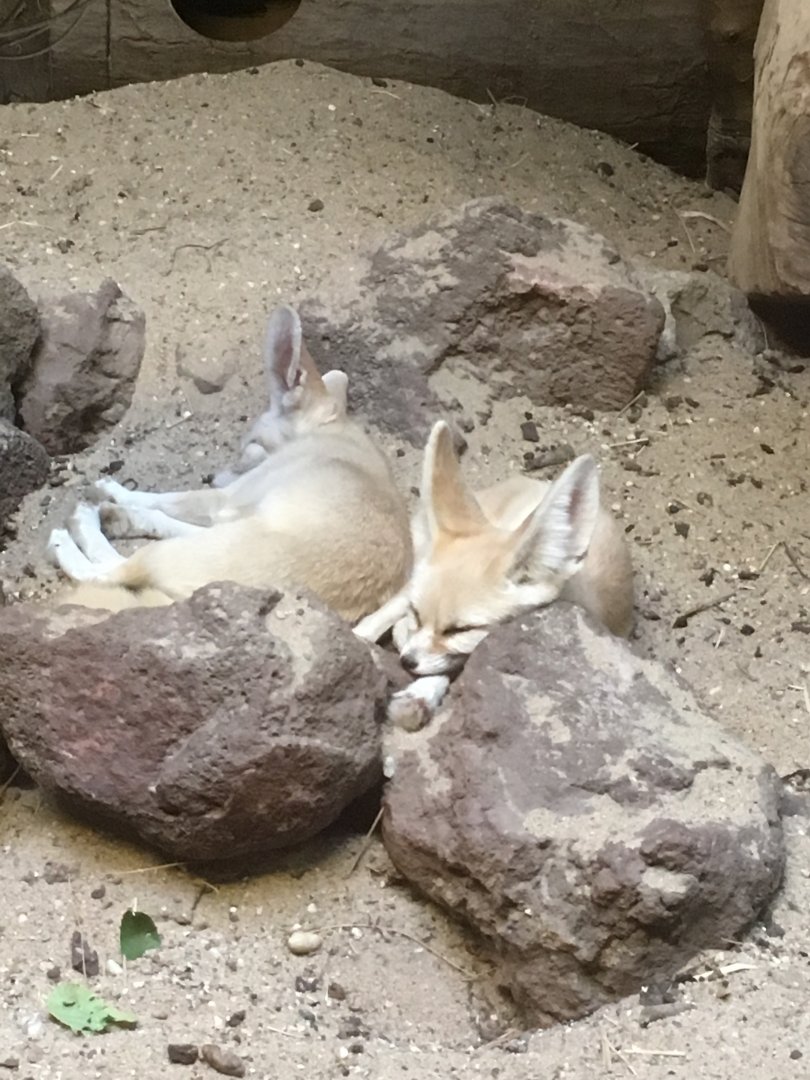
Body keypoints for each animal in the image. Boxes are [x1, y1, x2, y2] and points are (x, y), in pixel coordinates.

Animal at [46, 305, 413, 621]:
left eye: (250, 446)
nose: (212, 477)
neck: (332, 431)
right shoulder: (231, 512)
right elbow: (169, 513)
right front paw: (124, 508)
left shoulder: (226, 500)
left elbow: (166, 499)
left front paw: (117, 491)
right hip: (221, 538)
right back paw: (116, 518)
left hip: (191, 549)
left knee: (111, 571)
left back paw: (77, 531)